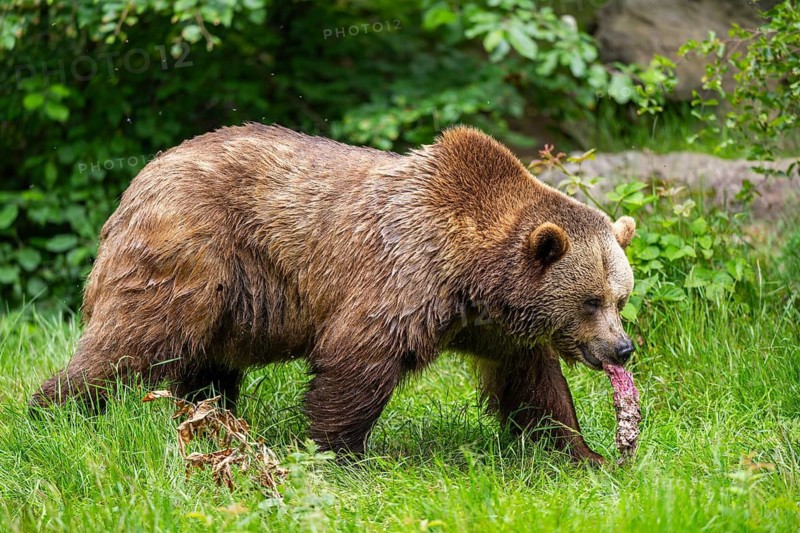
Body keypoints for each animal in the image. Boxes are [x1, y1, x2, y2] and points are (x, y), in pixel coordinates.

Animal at [31, 124, 636, 464]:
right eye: (591, 300)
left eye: (620, 298)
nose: (622, 348)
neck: (472, 276)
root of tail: (141, 176)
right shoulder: (403, 274)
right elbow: (357, 359)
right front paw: (341, 453)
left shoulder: (495, 327)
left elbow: (535, 387)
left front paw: (584, 453)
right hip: (193, 252)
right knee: (135, 338)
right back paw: (54, 412)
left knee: (203, 364)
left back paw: (210, 417)